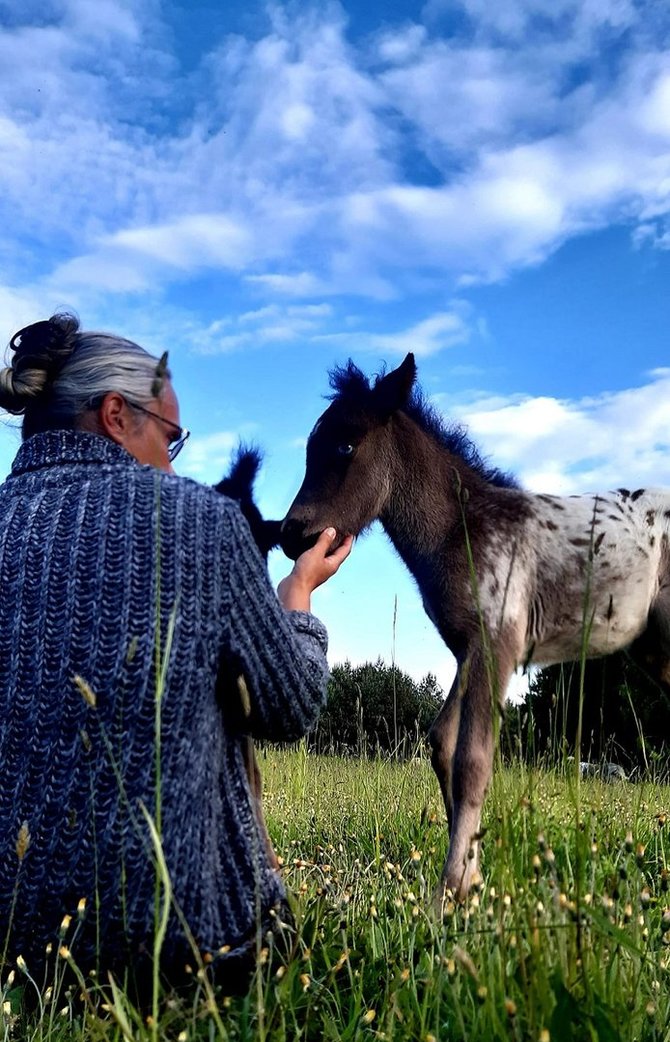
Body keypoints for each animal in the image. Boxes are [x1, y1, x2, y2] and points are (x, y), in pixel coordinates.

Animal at [281, 354, 670, 900]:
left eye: (346, 445)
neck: (462, 530)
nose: (290, 534)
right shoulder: (469, 648)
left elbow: (474, 759)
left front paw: (449, 891)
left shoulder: (499, 643)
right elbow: (443, 743)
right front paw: (470, 881)